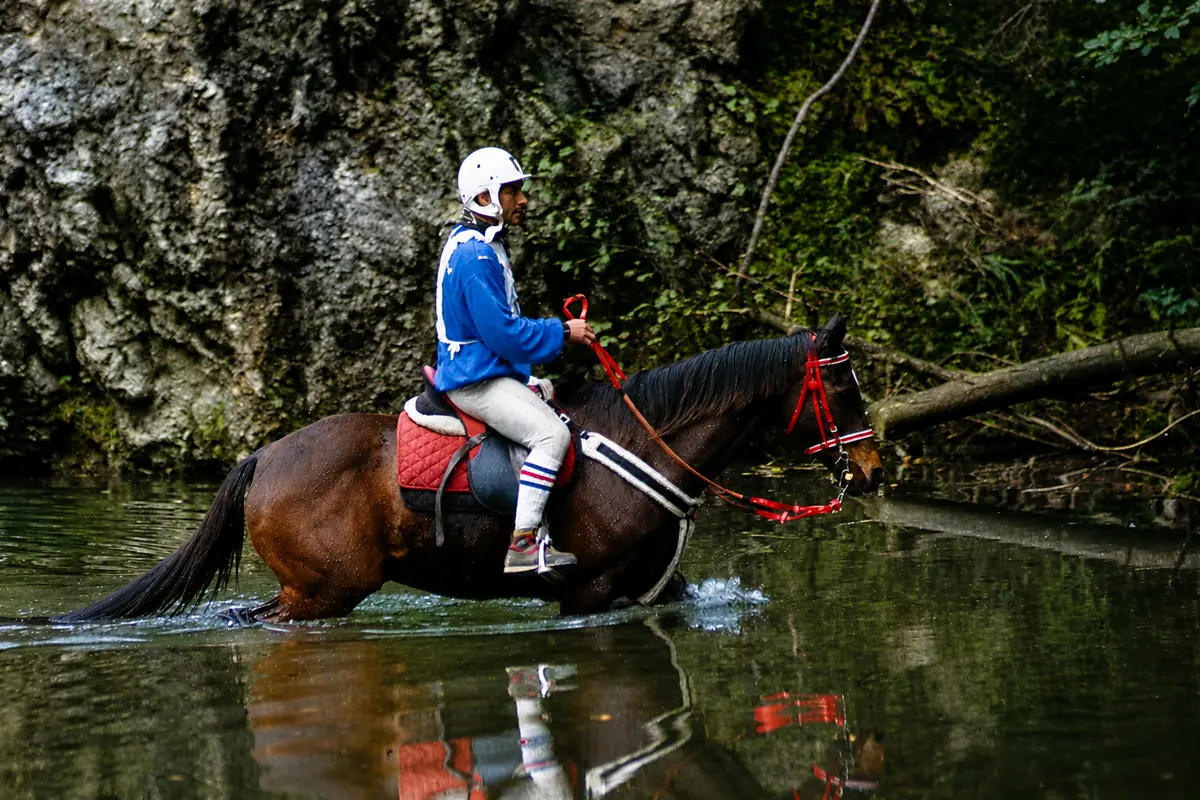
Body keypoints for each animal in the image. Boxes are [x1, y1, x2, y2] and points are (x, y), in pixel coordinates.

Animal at [61, 315, 884, 623]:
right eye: (843, 385)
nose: (874, 466)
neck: (650, 444)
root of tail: (262, 456)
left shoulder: (650, 585)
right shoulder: (587, 592)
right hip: (323, 591)